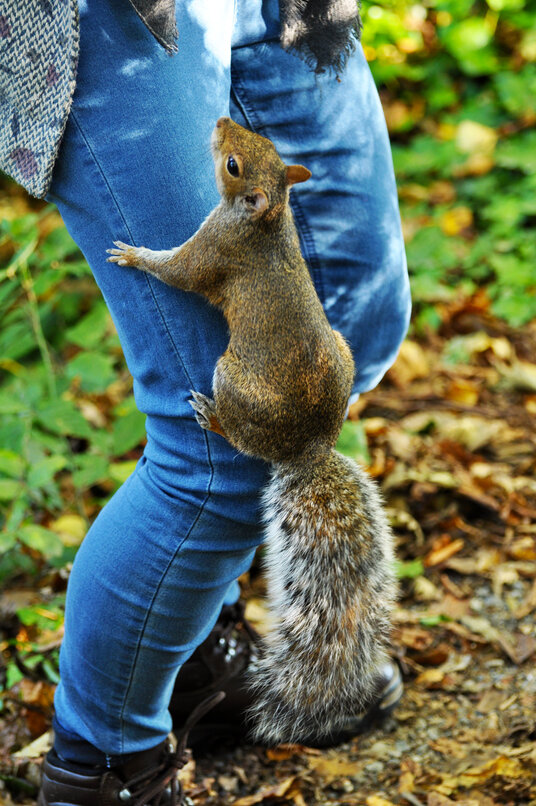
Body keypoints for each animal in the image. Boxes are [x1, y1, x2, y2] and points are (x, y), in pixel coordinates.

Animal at [107, 116, 397, 746]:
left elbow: (177, 271)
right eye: (261, 142)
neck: (267, 219)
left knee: (233, 430)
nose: (219, 122)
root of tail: (306, 447)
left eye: (234, 165)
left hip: (231, 378)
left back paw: (209, 415)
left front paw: (134, 254)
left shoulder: (214, 247)